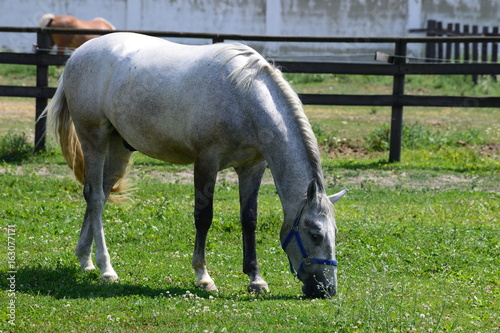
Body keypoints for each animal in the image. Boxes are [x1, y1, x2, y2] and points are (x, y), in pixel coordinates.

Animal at [42, 32, 348, 296]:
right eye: (315, 234)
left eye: (334, 233)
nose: (326, 290)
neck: (244, 97)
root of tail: (79, 53)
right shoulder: (206, 162)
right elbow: (204, 217)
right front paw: (204, 277)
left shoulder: (253, 167)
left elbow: (249, 220)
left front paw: (256, 278)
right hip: (93, 139)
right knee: (94, 198)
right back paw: (106, 268)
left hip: (118, 149)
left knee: (100, 196)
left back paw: (85, 260)